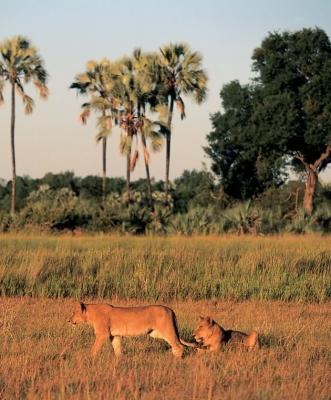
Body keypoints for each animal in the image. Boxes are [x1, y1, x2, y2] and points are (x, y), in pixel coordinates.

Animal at [68, 302, 197, 358]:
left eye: (73, 312)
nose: (68, 320)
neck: (91, 314)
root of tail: (170, 309)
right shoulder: (114, 335)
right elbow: (117, 349)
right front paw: (119, 362)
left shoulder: (102, 334)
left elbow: (94, 348)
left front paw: (89, 359)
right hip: (156, 333)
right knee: (176, 345)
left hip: (166, 330)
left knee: (179, 346)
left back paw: (176, 361)